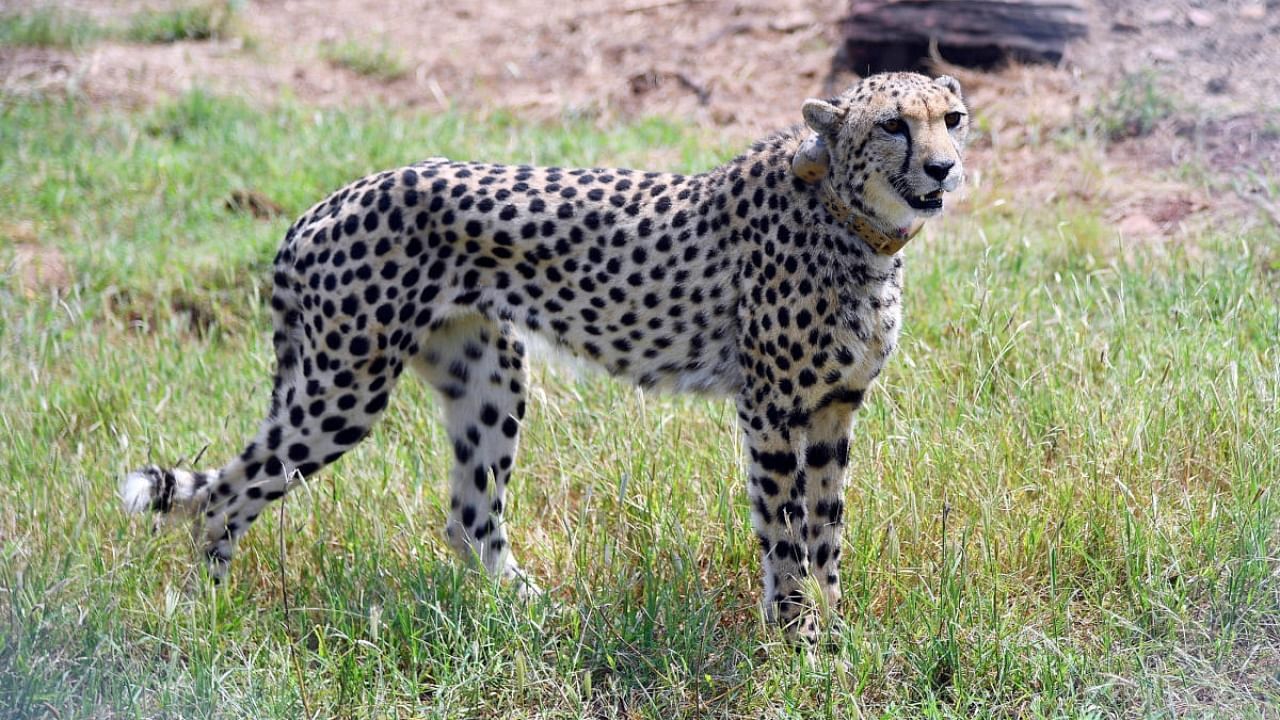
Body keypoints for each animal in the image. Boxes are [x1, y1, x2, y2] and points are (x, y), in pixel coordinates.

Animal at [124, 73, 967, 640]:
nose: (944, 167)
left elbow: (827, 531)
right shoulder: (771, 411)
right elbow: (786, 533)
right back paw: (210, 614)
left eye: (952, 119)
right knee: (227, 494)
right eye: (894, 125)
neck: (853, 222)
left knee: (469, 518)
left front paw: (836, 632)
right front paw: (799, 640)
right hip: (344, 389)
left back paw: (535, 615)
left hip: (487, 374)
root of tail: (324, 204)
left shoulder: (833, 409)